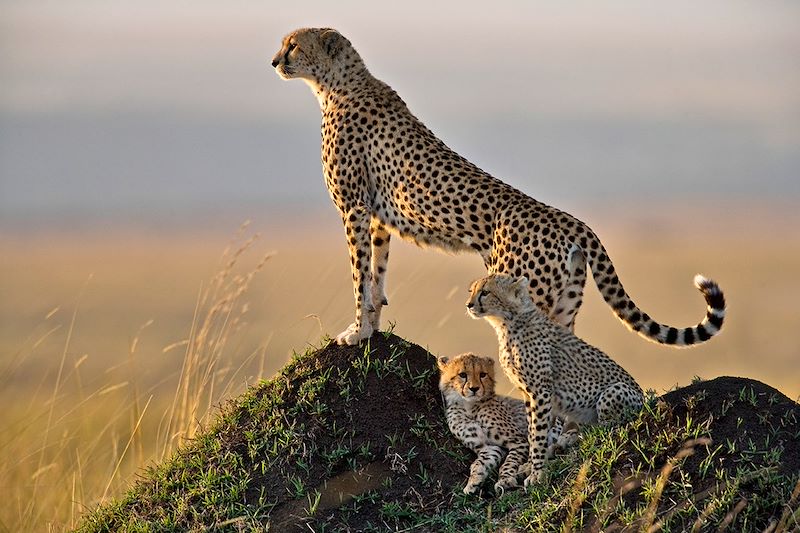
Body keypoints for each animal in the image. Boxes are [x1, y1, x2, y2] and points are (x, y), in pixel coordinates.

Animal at [272, 28, 728, 344]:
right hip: (564, 303)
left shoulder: (353, 208)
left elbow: (359, 277)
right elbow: (377, 277)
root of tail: (573, 221)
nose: (274, 61)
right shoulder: (379, 218)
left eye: (293, 45)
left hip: (525, 294)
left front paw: (357, 332)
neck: (337, 83)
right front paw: (372, 327)